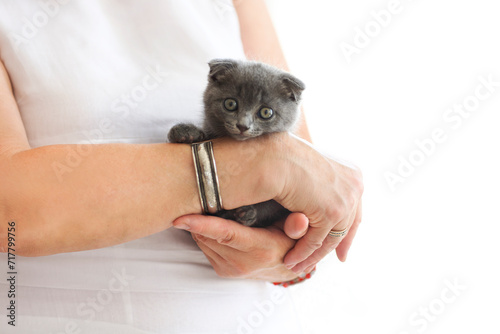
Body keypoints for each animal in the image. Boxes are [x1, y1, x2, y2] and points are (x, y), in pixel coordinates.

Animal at [169, 59, 304, 227]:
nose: (242, 126)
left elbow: (270, 206)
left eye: (266, 112)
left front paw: (248, 213)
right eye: (230, 104)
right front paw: (185, 132)